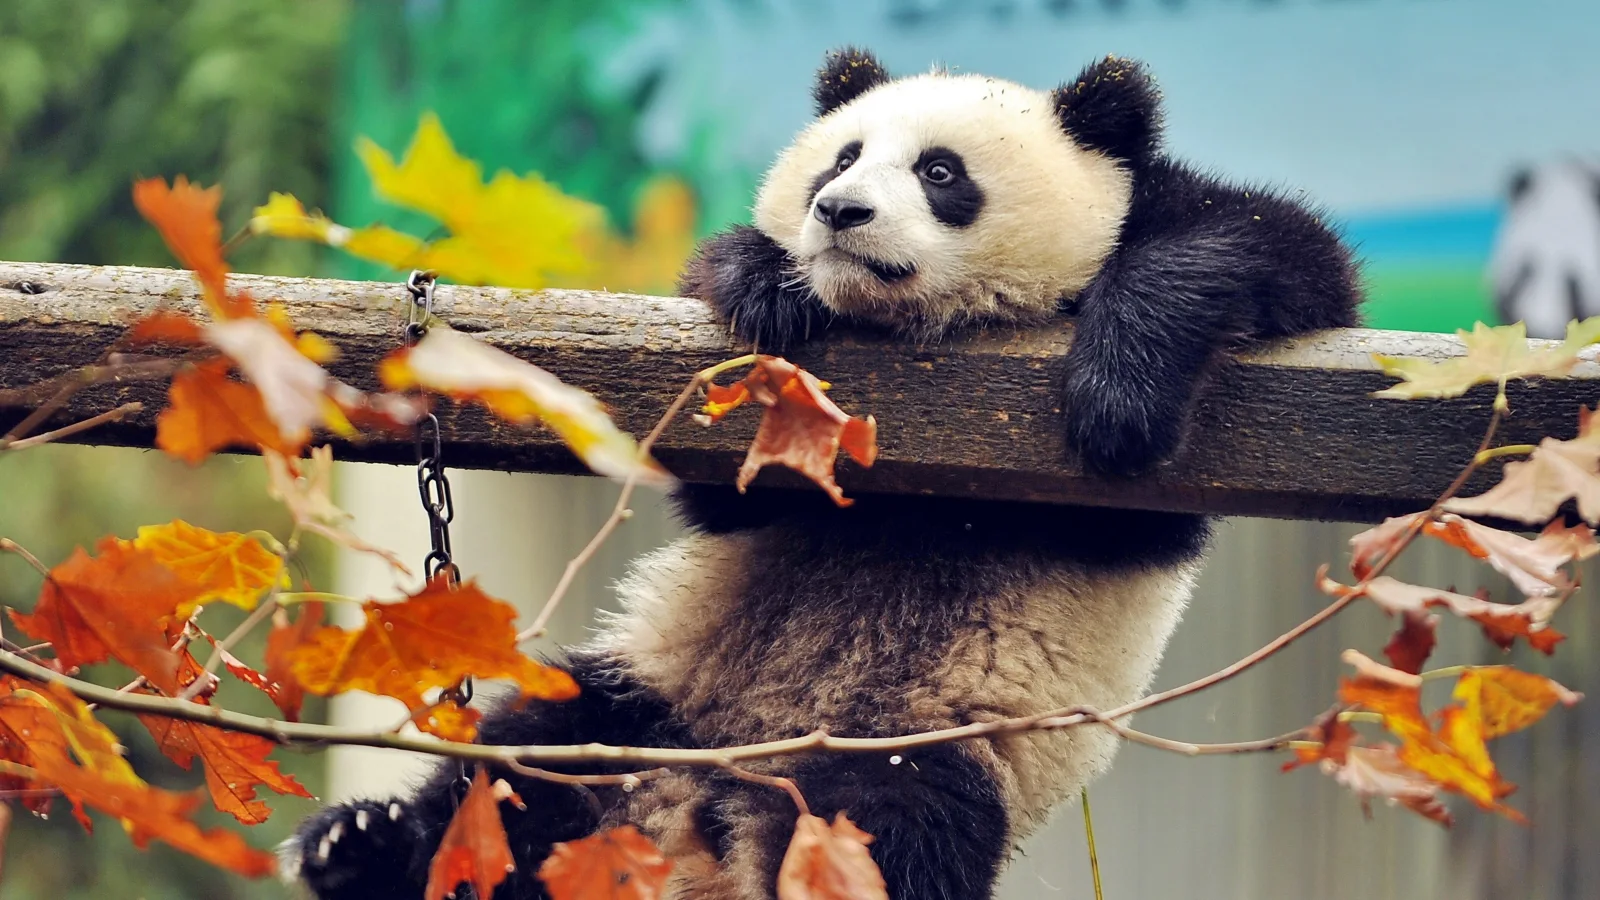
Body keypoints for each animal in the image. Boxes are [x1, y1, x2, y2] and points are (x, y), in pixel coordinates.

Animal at [284, 47, 1361, 900]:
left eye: (940, 171)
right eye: (838, 159)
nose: (839, 211)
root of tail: (708, 809)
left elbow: (1269, 256)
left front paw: (1120, 392)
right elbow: (728, 485)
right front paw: (765, 283)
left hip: (928, 747)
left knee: (894, 834)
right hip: (653, 694)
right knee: (526, 765)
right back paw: (363, 846)